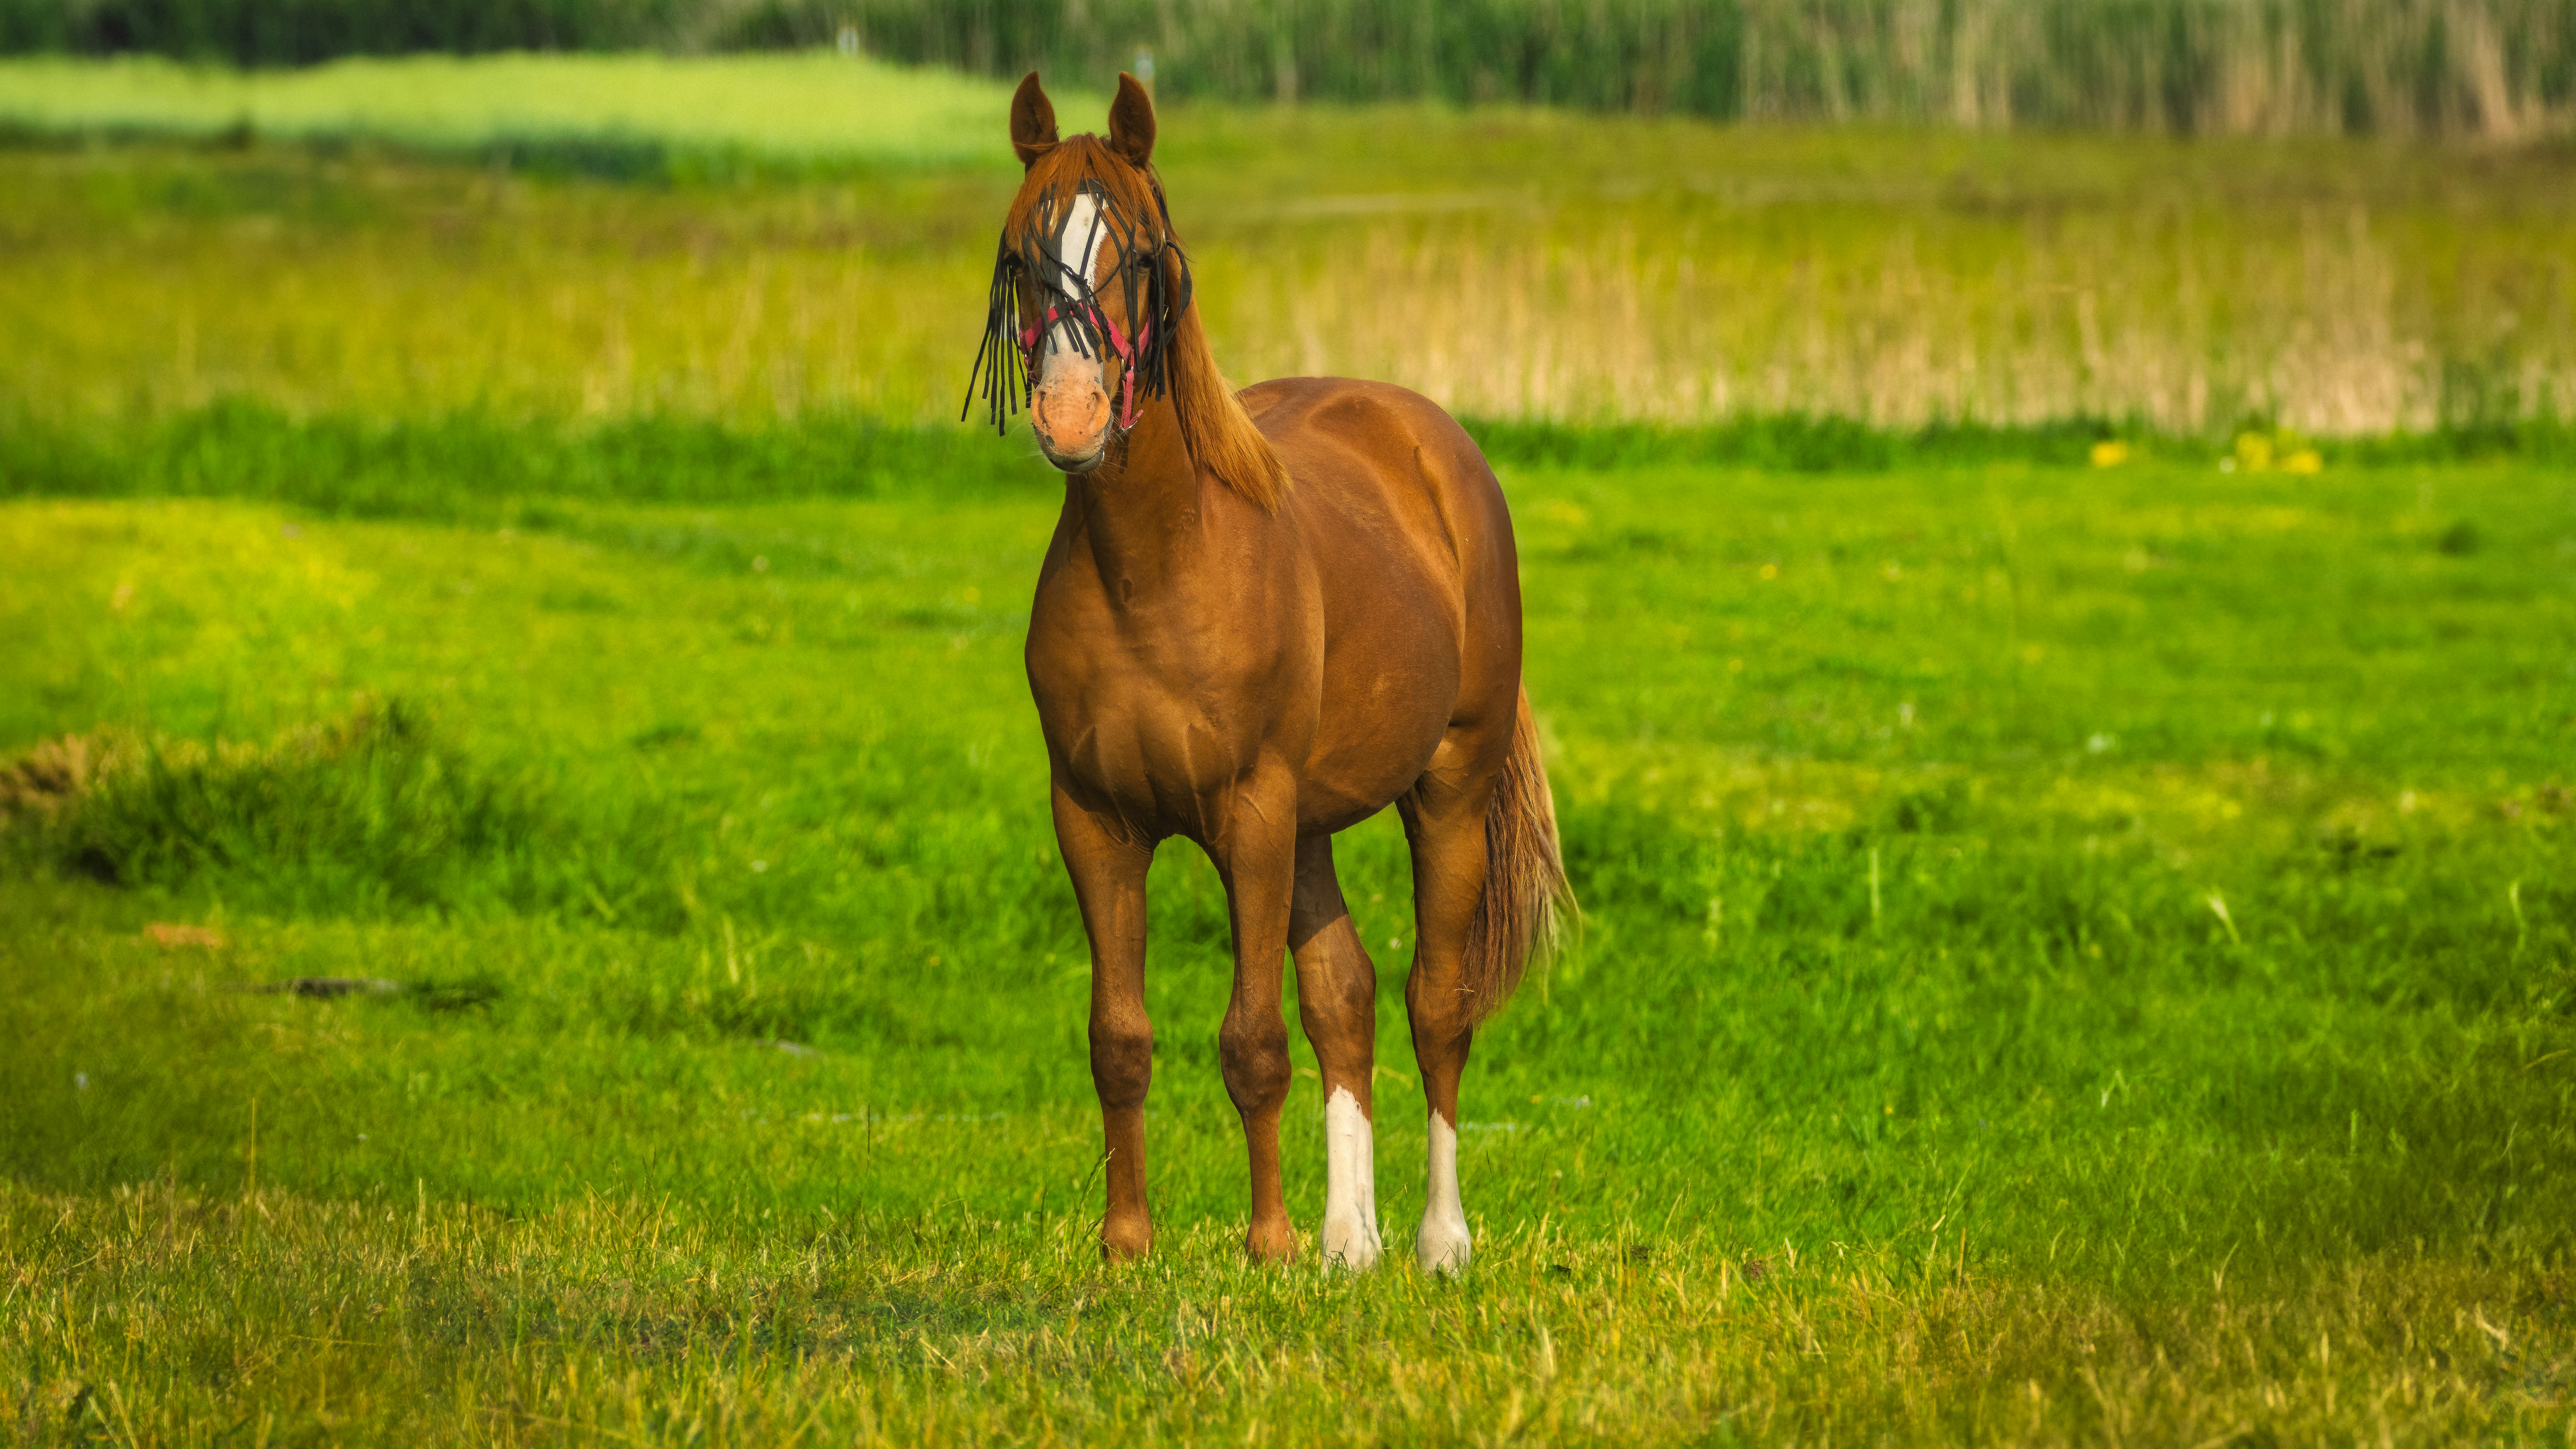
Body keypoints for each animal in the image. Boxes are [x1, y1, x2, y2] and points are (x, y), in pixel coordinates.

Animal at [966, 72, 1571, 1272]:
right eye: (1021, 253)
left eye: (1137, 252)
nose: (1070, 415)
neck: (1156, 568)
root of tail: (1435, 444)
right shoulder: (1095, 820)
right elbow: (1120, 1037)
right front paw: (1129, 1244)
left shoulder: (1248, 812)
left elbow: (1251, 1039)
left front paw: (1269, 1244)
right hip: (1311, 827)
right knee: (1346, 994)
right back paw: (1352, 1241)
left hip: (1445, 789)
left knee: (1436, 1007)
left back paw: (1437, 1241)